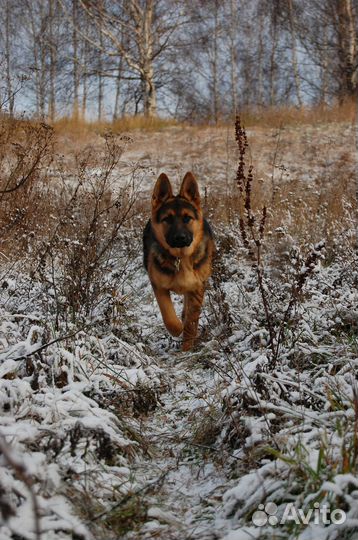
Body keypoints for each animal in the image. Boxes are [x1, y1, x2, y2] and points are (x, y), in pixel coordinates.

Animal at [143, 171, 215, 352]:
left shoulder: (197, 287)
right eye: (167, 219)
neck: (181, 258)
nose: (180, 238)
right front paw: (177, 329)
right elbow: (168, 314)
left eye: (187, 218)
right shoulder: (158, 286)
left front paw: (187, 347)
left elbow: (191, 320)